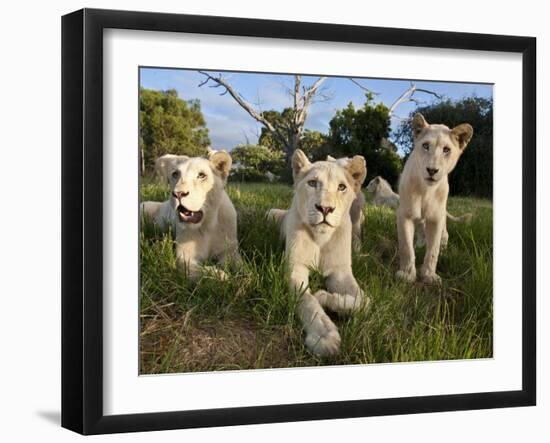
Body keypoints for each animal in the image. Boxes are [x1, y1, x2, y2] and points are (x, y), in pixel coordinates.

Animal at [140, 151, 242, 280]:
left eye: (201, 175)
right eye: (175, 174)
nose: (178, 193)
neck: (207, 225)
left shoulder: (230, 250)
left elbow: (240, 265)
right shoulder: (183, 257)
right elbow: (202, 271)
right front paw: (222, 275)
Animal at [268, 149, 370, 358]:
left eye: (341, 187)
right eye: (313, 183)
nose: (325, 208)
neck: (321, 238)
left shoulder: (341, 272)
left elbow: (364, 302)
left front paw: (325, 297)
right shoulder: (295, 268)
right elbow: (308, 301)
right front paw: (325, 337)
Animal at [396, 112, 474, 284]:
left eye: (446, 150)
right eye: (426, 146)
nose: (432, 170)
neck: (426, 190)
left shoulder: (436, 218)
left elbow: (433, 250)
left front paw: (429, 276)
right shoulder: (405, 214)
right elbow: (406, 247)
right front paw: (407, 275)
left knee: (444, 236)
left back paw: (444, 249)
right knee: (419, 231)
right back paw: (419, 244)